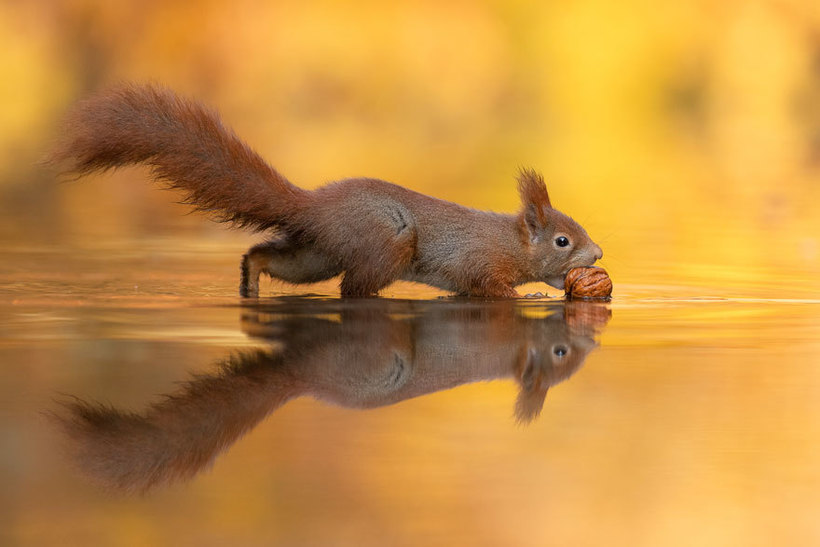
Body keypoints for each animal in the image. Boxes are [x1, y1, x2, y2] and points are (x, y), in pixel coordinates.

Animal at [49, 83, 604, 298]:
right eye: (563, 241)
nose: (598, 255)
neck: (510, 241)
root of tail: (313, 206)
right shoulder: (478, 263)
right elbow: (489, 289)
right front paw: (533, 293)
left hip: (316, 254)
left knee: (268, 257)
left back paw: (250, 283)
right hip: (384, 244)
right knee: (352, 290)